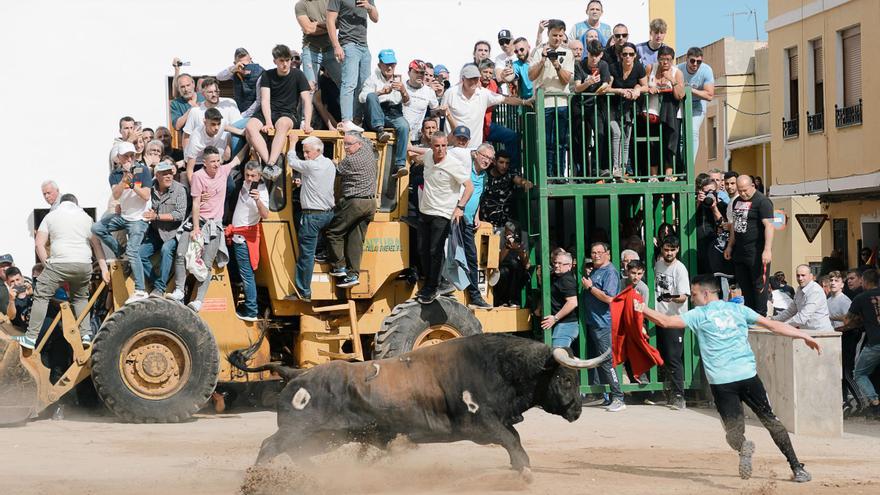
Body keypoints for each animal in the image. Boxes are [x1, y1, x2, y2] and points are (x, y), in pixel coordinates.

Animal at [230, 336, 608, 478]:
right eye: (567, 379)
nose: (577, 410)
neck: (497, 366)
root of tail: (296, 373)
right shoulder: (479, 424)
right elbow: (510, 438)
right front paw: (524, 469)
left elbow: (514, 437)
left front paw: (521, 467)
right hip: (298, 430)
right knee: (270, 446)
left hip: (323, 438)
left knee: (296, 453)